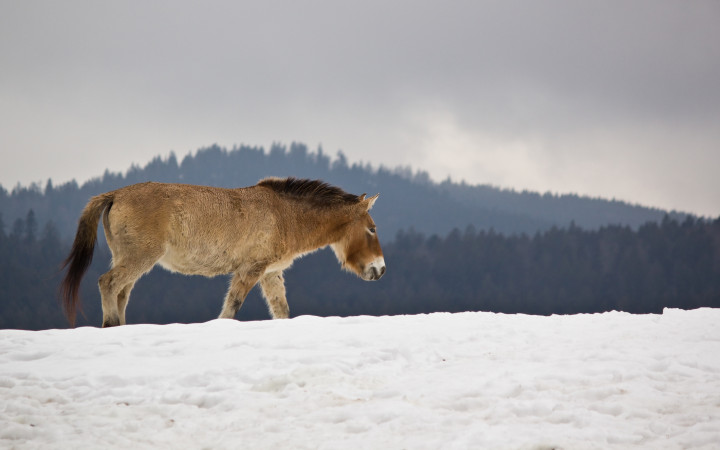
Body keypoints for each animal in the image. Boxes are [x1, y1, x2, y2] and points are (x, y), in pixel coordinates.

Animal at [59, 178, 386, 328]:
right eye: (372, 229)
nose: (380, 269)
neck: (284, 214)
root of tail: (114, 194)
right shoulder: (250, 270)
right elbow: (231, 309)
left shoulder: (270, 273)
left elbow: (281, 310)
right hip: (138, 258)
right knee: (108, 283)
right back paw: (110, 324)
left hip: (129, 258)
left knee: (122, 292)